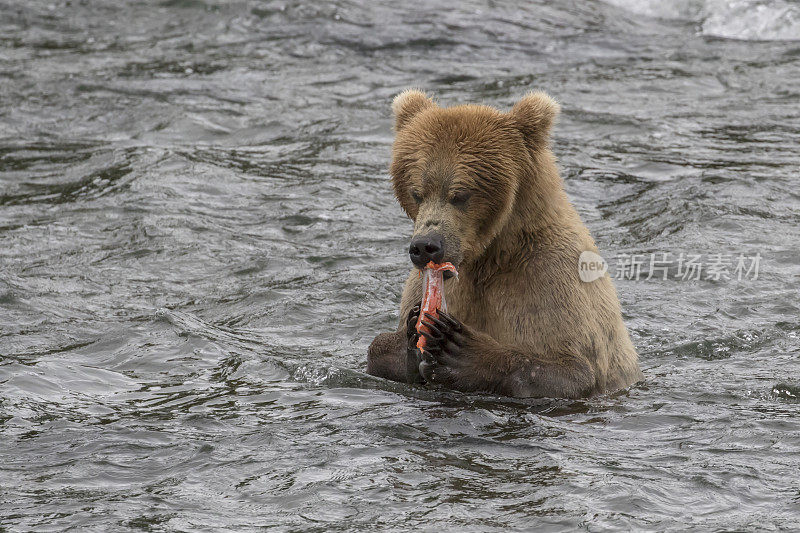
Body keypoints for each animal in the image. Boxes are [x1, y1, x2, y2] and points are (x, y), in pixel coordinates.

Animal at [368, 89, 644, 396]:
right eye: (417, 192)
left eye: (460, 194)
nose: (426, 246)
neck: (489, 256)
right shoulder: (432, 284)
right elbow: (379, 349)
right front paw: (414, 331)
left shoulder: (550, 278)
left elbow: (571, 370)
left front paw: (458, 348)